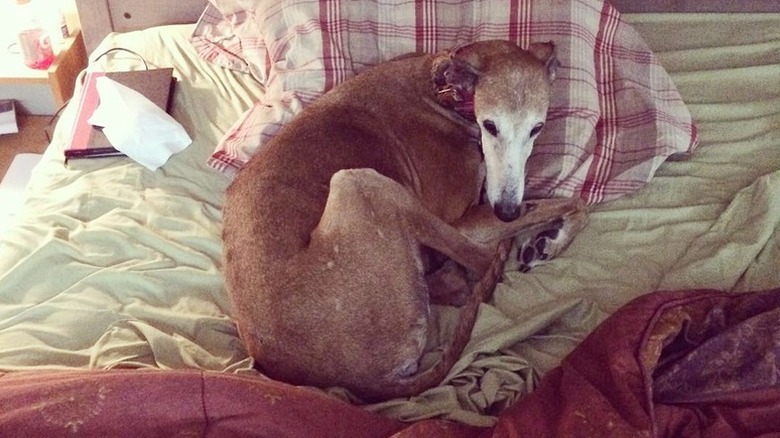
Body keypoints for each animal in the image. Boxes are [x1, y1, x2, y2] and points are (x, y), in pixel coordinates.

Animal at [219, 39, 584, 402]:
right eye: (490, 125)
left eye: (537, 128)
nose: (506, 210)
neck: (442, 90)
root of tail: (359, 382)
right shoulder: (461, 221)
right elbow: (573, 201)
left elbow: (570, 202)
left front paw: (550, 241)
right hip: (361, 182)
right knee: (474, 270)